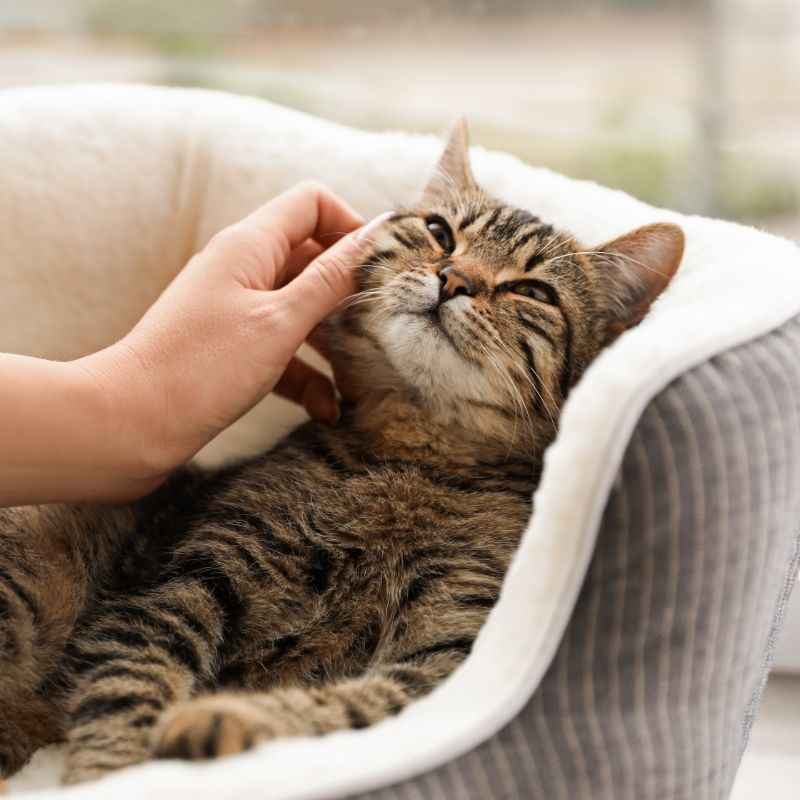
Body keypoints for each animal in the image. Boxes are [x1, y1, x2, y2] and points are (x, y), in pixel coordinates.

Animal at [0, 122, 688, 784]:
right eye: (439, 232)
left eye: (535, 292)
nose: (454, 279)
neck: (417, 452)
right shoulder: (187, 578)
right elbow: (132, 681)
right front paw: (111, 768)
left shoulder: (444, 658)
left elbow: (349, 708)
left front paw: (225, 720)